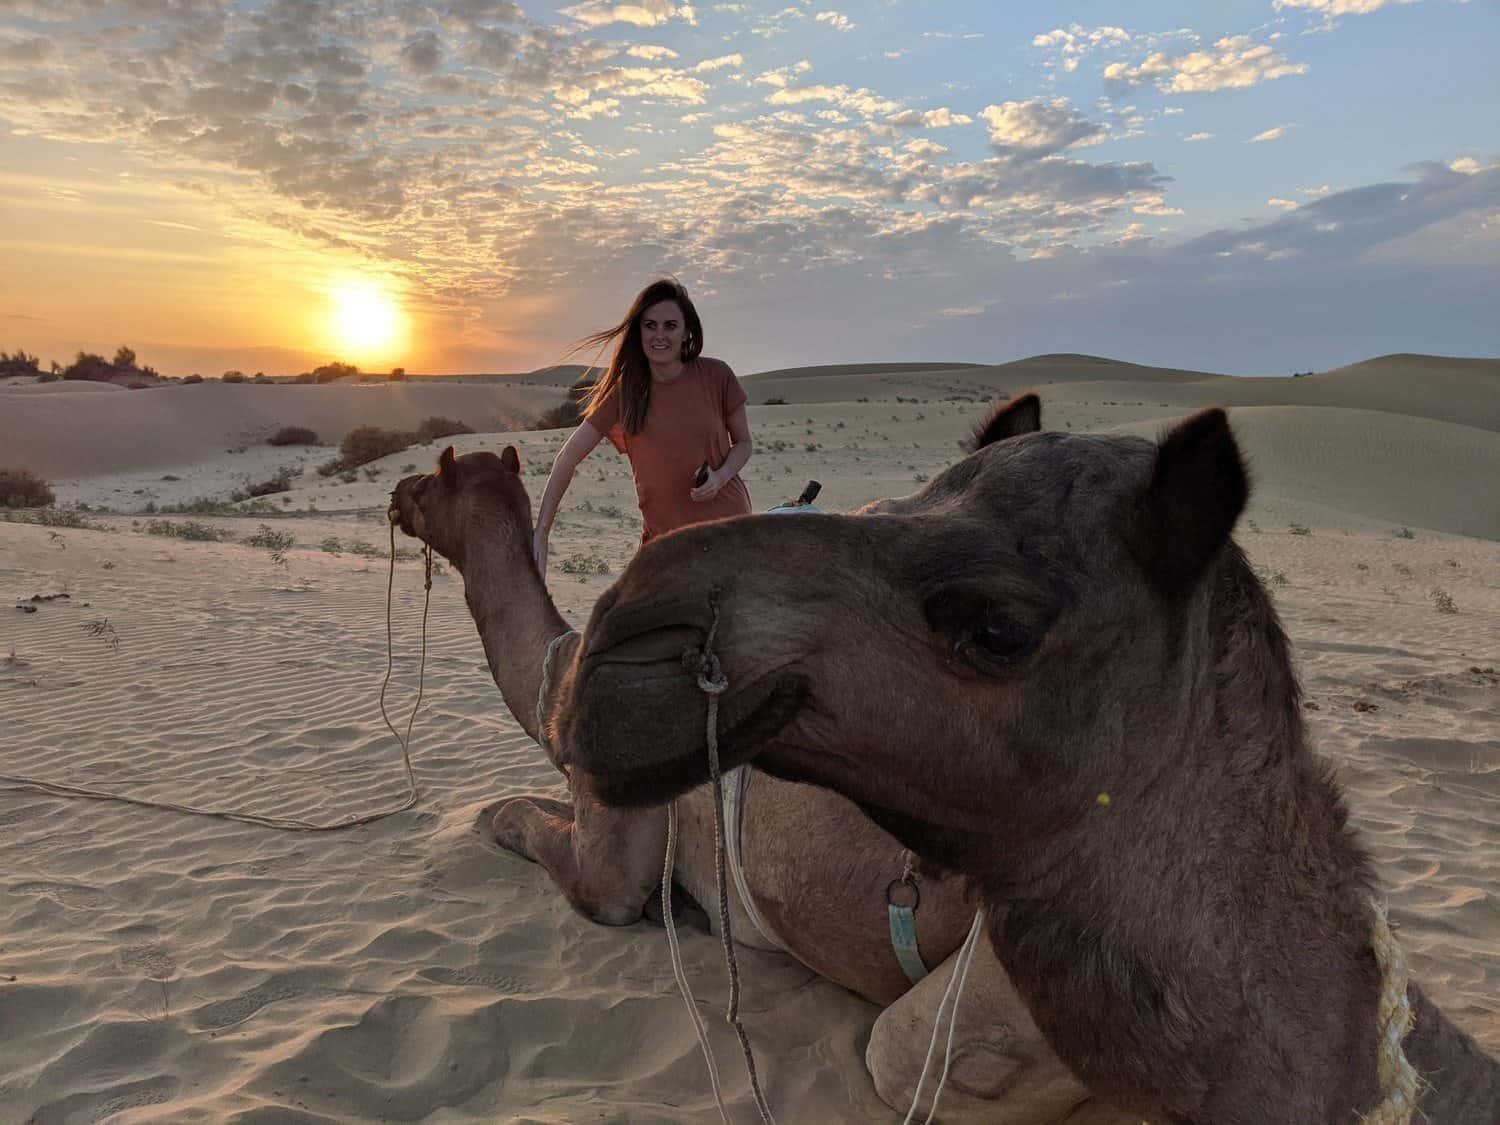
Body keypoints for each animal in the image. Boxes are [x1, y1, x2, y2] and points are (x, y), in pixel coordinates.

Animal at [390, 444, 1134, 1122]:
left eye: (429, 480)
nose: (396, 492)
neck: (559, 692)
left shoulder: (611, 866)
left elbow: (519, 821)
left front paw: (487, 817)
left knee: (902, 1057)